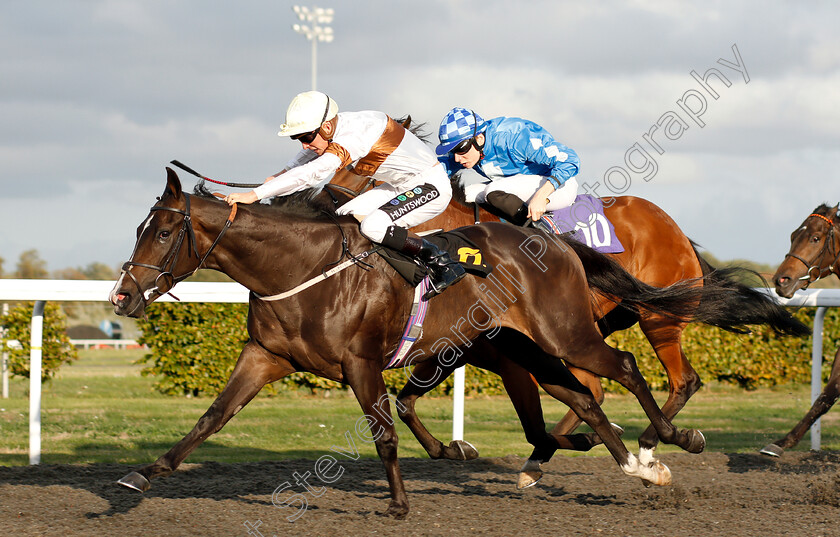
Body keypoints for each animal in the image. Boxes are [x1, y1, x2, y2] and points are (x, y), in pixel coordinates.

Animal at [110, 166, 736, 516]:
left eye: (161, 232)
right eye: (140, 229)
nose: (122, 296)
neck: (302, 268)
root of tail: (555, 243)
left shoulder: (362, 361)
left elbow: (386, 432)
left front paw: (399, 503)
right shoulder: (265, 356)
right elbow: (211, 417)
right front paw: (143, 473)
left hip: (575, 333)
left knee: (629, 368)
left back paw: (659, 446)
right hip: (528, 346)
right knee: (585, 397)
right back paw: (631, 464)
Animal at [326, 165, 808, 484]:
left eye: (353, 170)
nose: (329, 205)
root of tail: (675, 229)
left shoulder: (504, 356)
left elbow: (542, 415)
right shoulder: (463, 348)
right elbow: (409, 403)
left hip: (654, 321)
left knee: (679, 380)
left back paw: (653, 443)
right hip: (591, 327)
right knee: (599, 386)